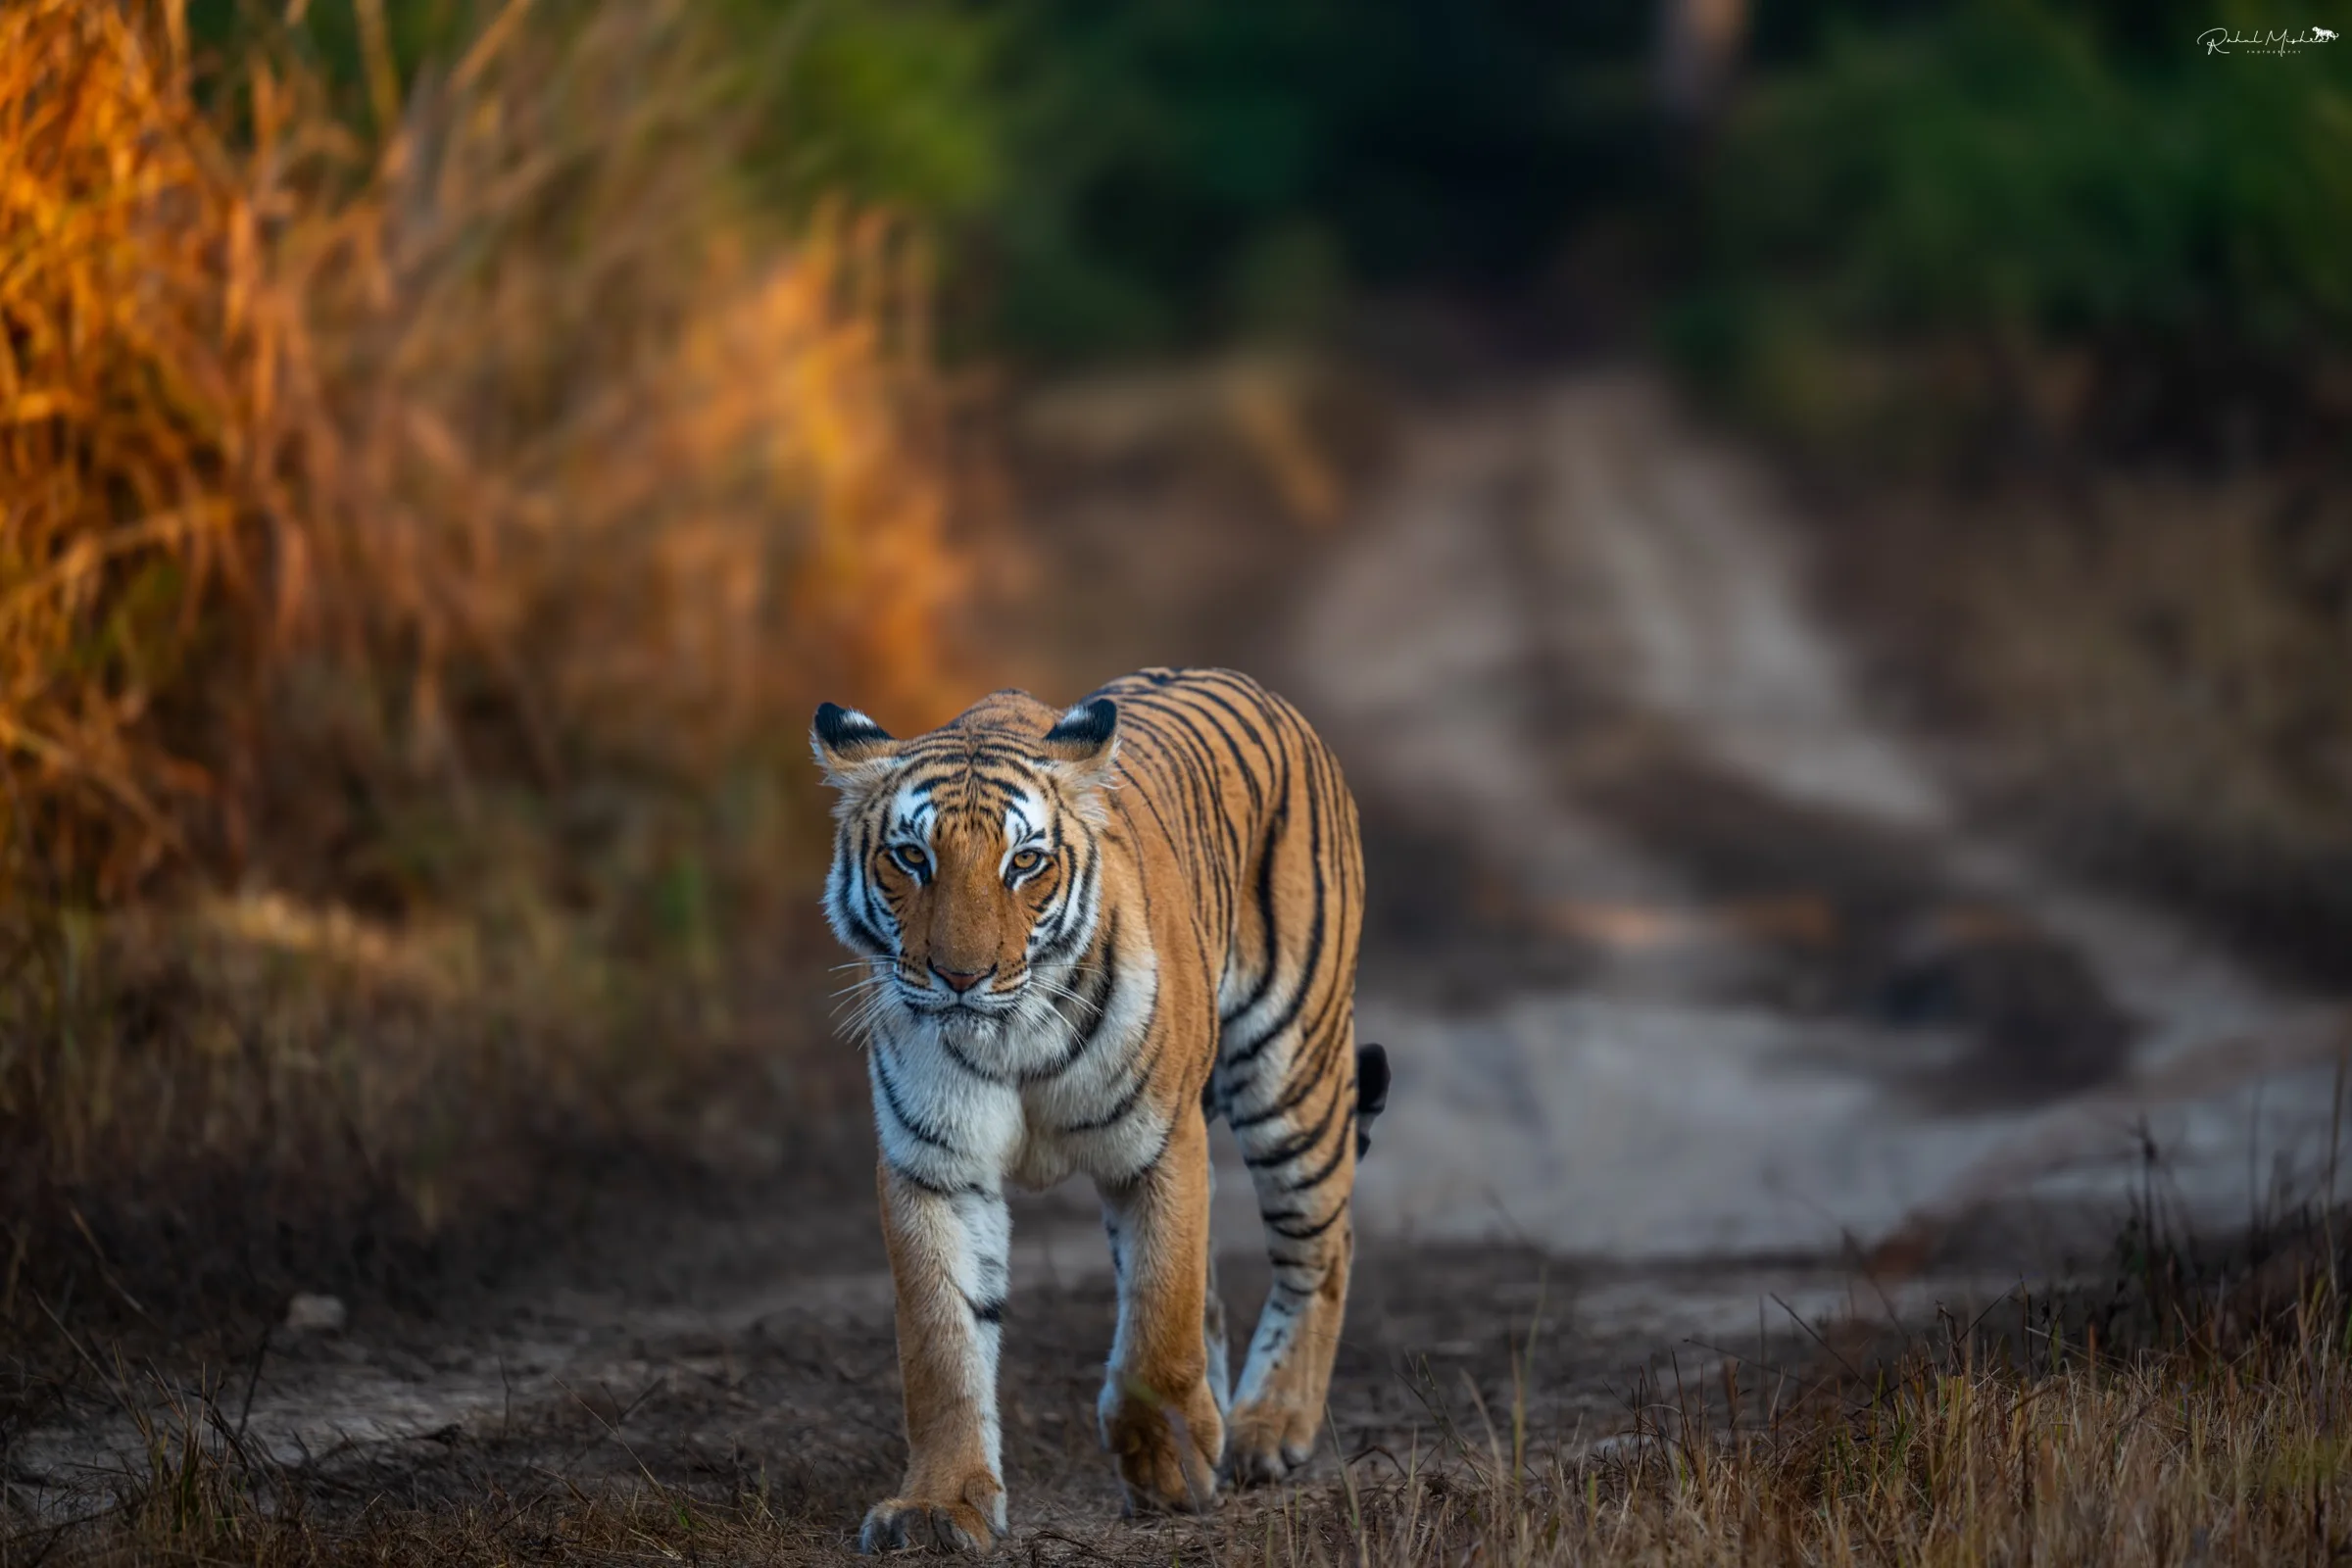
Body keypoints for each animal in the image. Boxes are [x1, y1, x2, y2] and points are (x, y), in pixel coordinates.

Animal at [811, 666, 1387, 1552]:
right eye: (910, 857)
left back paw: (1267, 1429)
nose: (961, 977)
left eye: (1025, 862)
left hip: (1293, 1068)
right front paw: (940, 1505)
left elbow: (1160, 1318)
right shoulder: (934, 1167)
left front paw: (1167, 1468)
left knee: (1323, 1247)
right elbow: (941, 1345)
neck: (1010, 1037)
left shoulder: (1160, 1146)